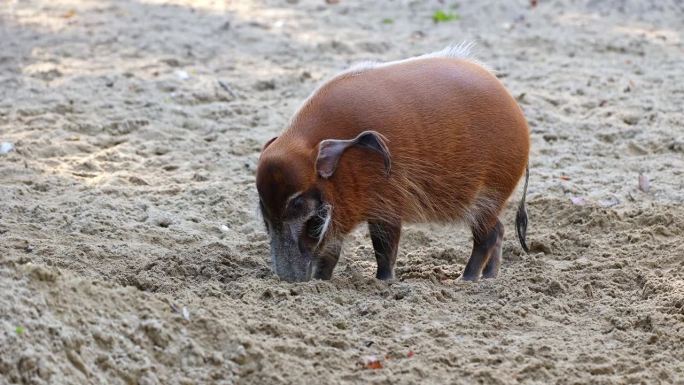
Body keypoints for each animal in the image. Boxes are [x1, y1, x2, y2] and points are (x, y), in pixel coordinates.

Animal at [256, 44, 528, 282]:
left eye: (305, 212)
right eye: (265, 216)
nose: (289, 280)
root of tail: (518, 113)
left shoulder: (386, 202)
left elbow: (384, 246)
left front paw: (383, 281)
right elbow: (331, 252)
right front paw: (321, 281)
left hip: (489, 196)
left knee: (486, 237)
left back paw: (466, 279)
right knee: (499, 230)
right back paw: (489, 277)